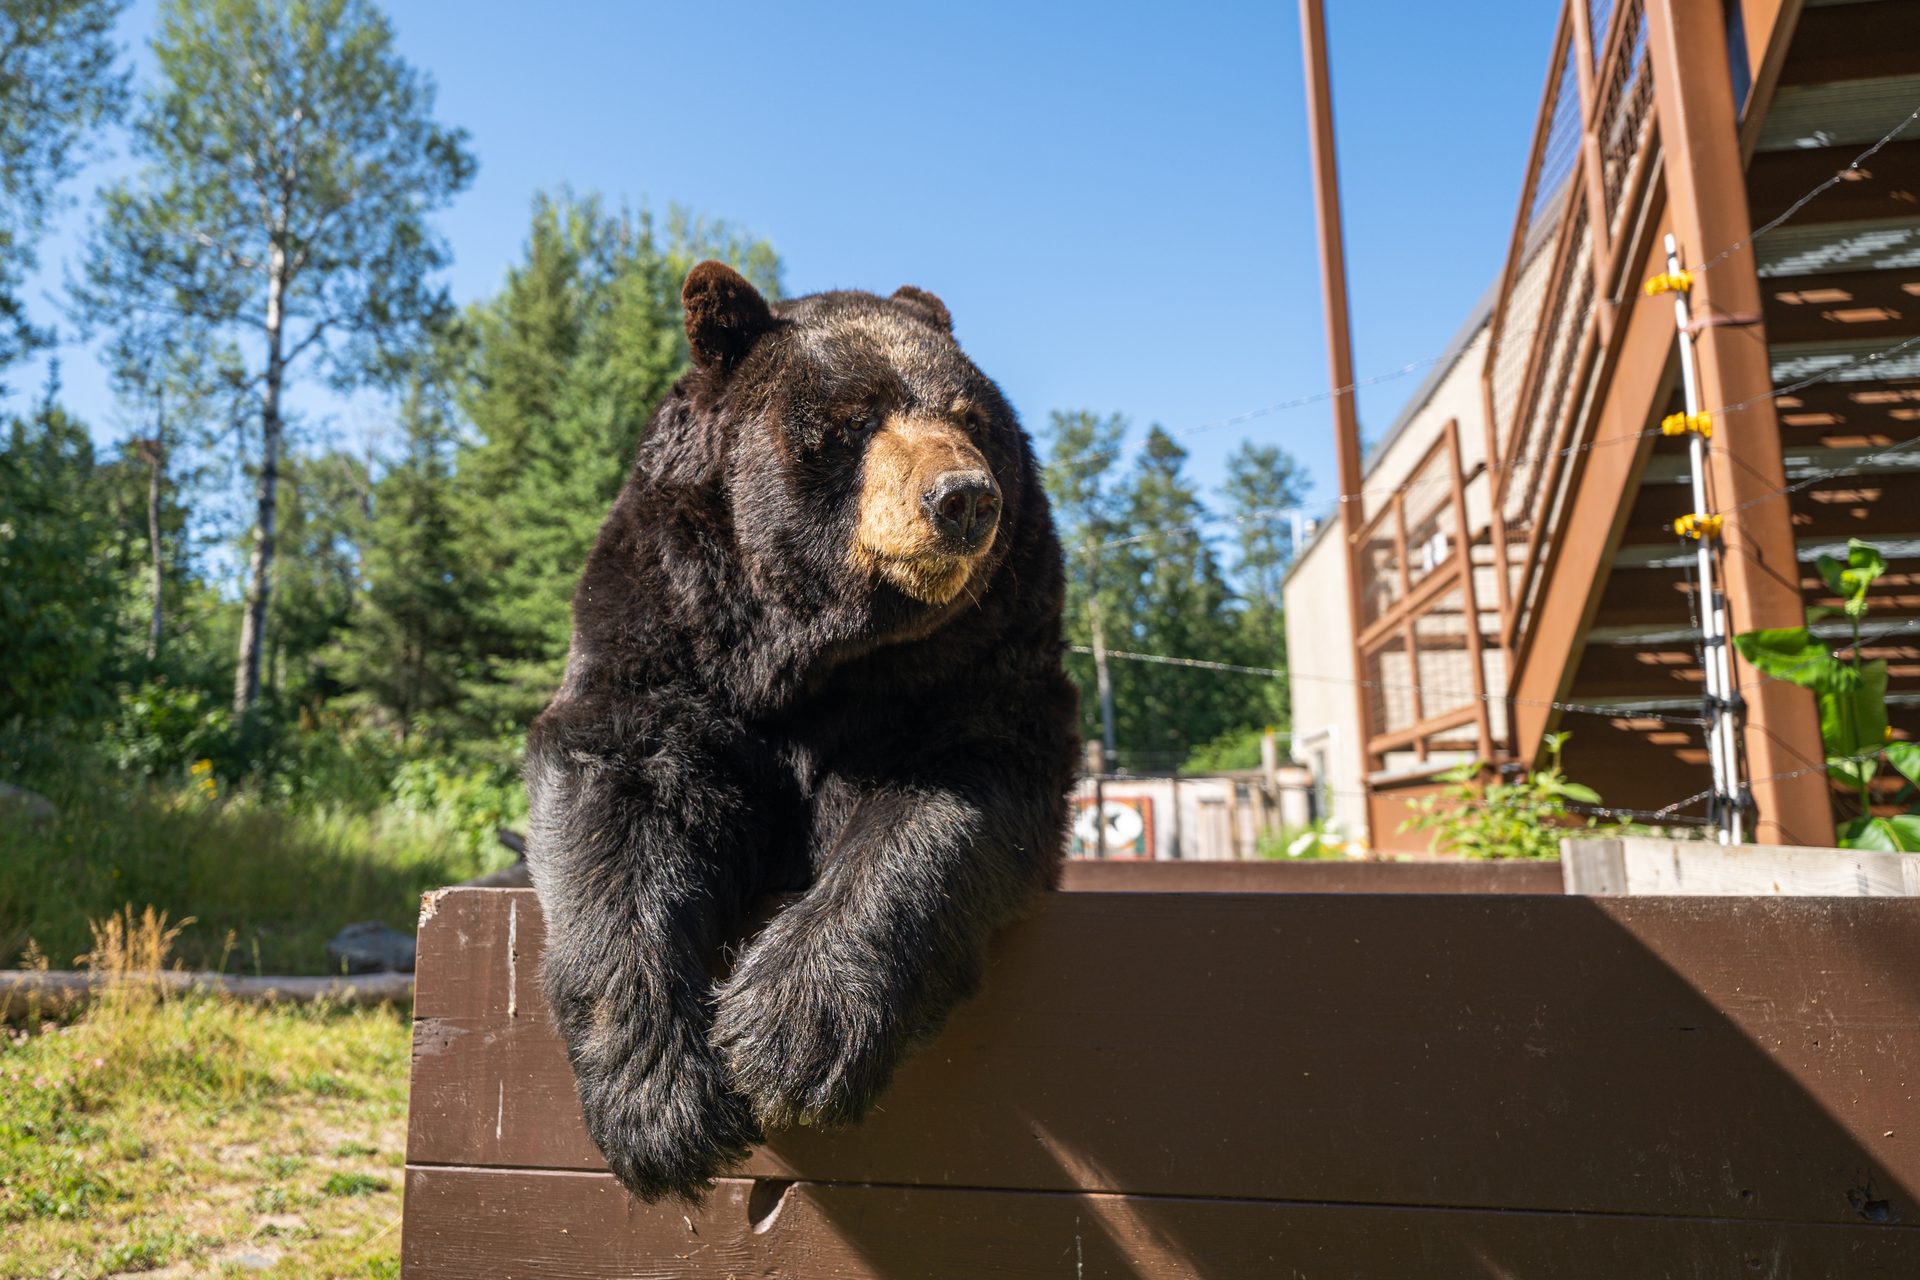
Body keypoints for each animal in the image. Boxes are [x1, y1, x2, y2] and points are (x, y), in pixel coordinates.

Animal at [523, 261, 1081, 1202]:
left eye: (973, 419)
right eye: (854, 419)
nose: (965, 498)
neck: (814, 649)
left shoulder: (981, 655)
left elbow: (955, 791)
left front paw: (791, 1029)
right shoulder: (660, 621)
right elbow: (620, 797)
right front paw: (661, 1106)